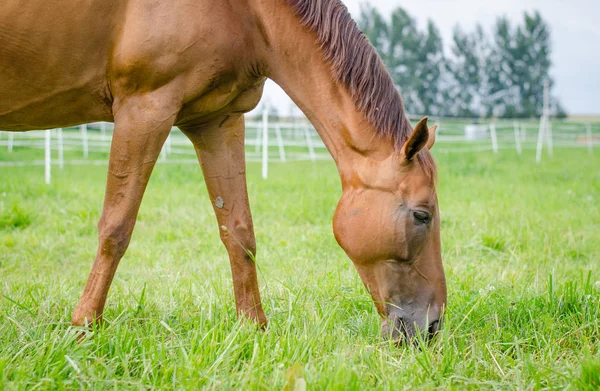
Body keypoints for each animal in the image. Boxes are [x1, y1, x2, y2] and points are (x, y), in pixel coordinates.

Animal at [0, 0, 446, 344]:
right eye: (421, 215)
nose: (431, 327)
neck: (244, 12)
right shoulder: (145, 108)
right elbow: (116, 227)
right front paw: (83, 328)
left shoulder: (217, 121)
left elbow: (239, 231)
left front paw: (254, 329)